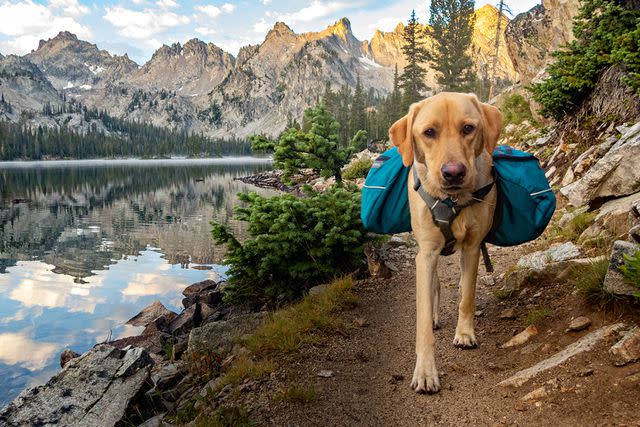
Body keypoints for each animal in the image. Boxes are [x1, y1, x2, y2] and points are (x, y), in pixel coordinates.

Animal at [388, 93, 502, 394]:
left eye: (468, 128)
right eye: (429, 132)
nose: (453, 173)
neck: (452, 201)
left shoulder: (473, 247)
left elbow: (467, 296)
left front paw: (464, 333)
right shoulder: (426, 254)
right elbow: (423, 322)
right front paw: (426, 372)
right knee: (435, 285)